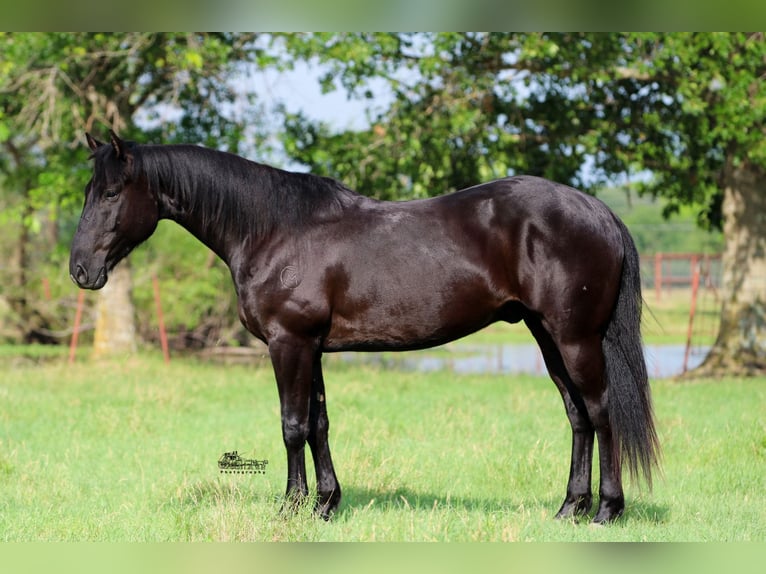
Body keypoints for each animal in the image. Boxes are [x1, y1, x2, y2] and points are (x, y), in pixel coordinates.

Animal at [69, 133, 664, 524]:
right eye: (89, 191)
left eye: (111, 193)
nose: (80, 269)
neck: (273, 229)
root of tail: (599, 212)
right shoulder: (311, 347)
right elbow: (319, 424)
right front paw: (326, 504)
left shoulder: (288, 344)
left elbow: (292, 426)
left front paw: (291, 508)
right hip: (547, 337)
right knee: (577, 416)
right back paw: (568, 508)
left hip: (575, 338)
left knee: (601, 412)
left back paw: (607, 511)